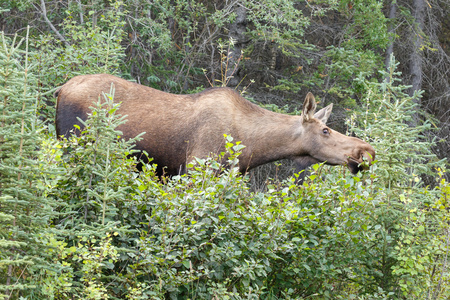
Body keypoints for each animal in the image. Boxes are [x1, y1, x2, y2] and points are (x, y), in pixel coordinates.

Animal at [54, 74, 374, 179]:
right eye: (325, 131)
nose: (366, 151)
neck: (253, 147)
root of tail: (60, 89)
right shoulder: (196, 168)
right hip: (72, 143)